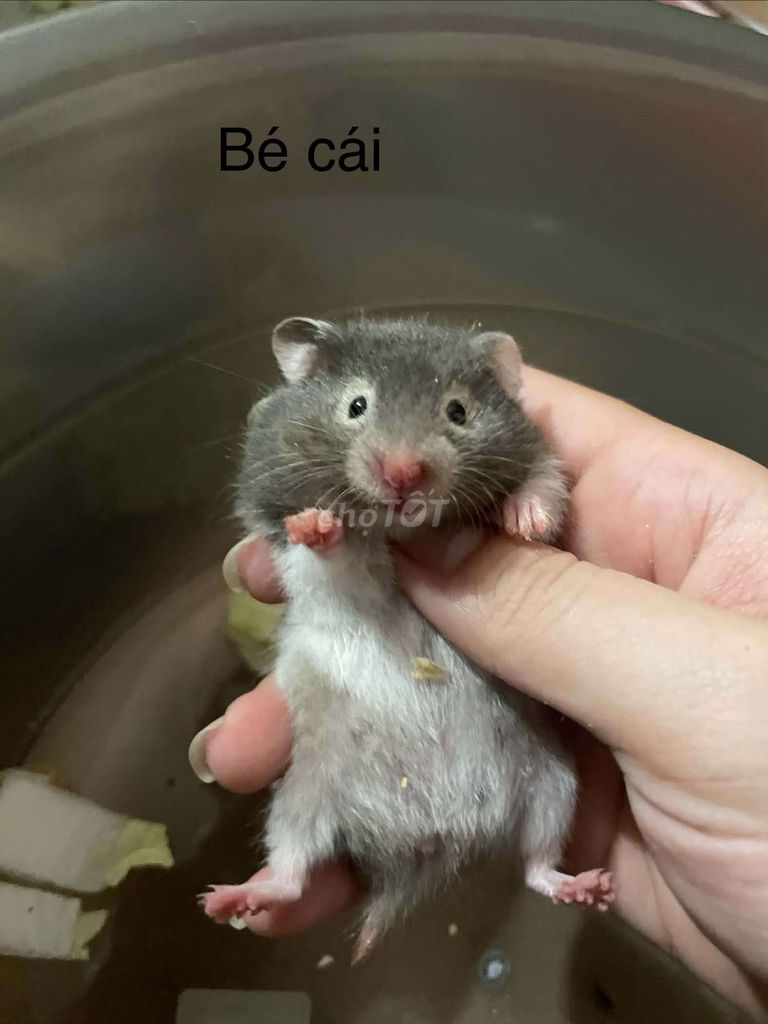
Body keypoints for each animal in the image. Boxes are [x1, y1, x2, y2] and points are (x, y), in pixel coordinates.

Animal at [200, 316, 613, 961]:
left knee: (536, 866)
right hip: (305, 794)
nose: (402, 474)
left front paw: (525, 523)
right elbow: (330, 559)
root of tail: (430, 847)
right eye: (356, 405)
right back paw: (228, 901)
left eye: (459, 411)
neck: (397, 530)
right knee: (291, 869)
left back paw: (590, 888)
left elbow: (543, 485)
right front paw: (318, 524)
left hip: (553, 784)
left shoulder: (542, 456)